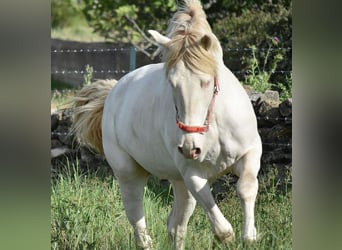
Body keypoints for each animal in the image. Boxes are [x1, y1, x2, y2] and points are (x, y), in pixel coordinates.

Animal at [71, 0, 260, 249]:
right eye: (171, 83)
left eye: (206, 82)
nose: (190, 148)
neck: (213, 124)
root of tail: (113, 91)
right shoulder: (191, 173)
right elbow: (222, 228)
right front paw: (229, 237)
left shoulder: (250, 152)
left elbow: (246, 188)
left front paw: (250, 235)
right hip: (130, 174)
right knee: (137, 219)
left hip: (177, 182)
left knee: (176, 227)